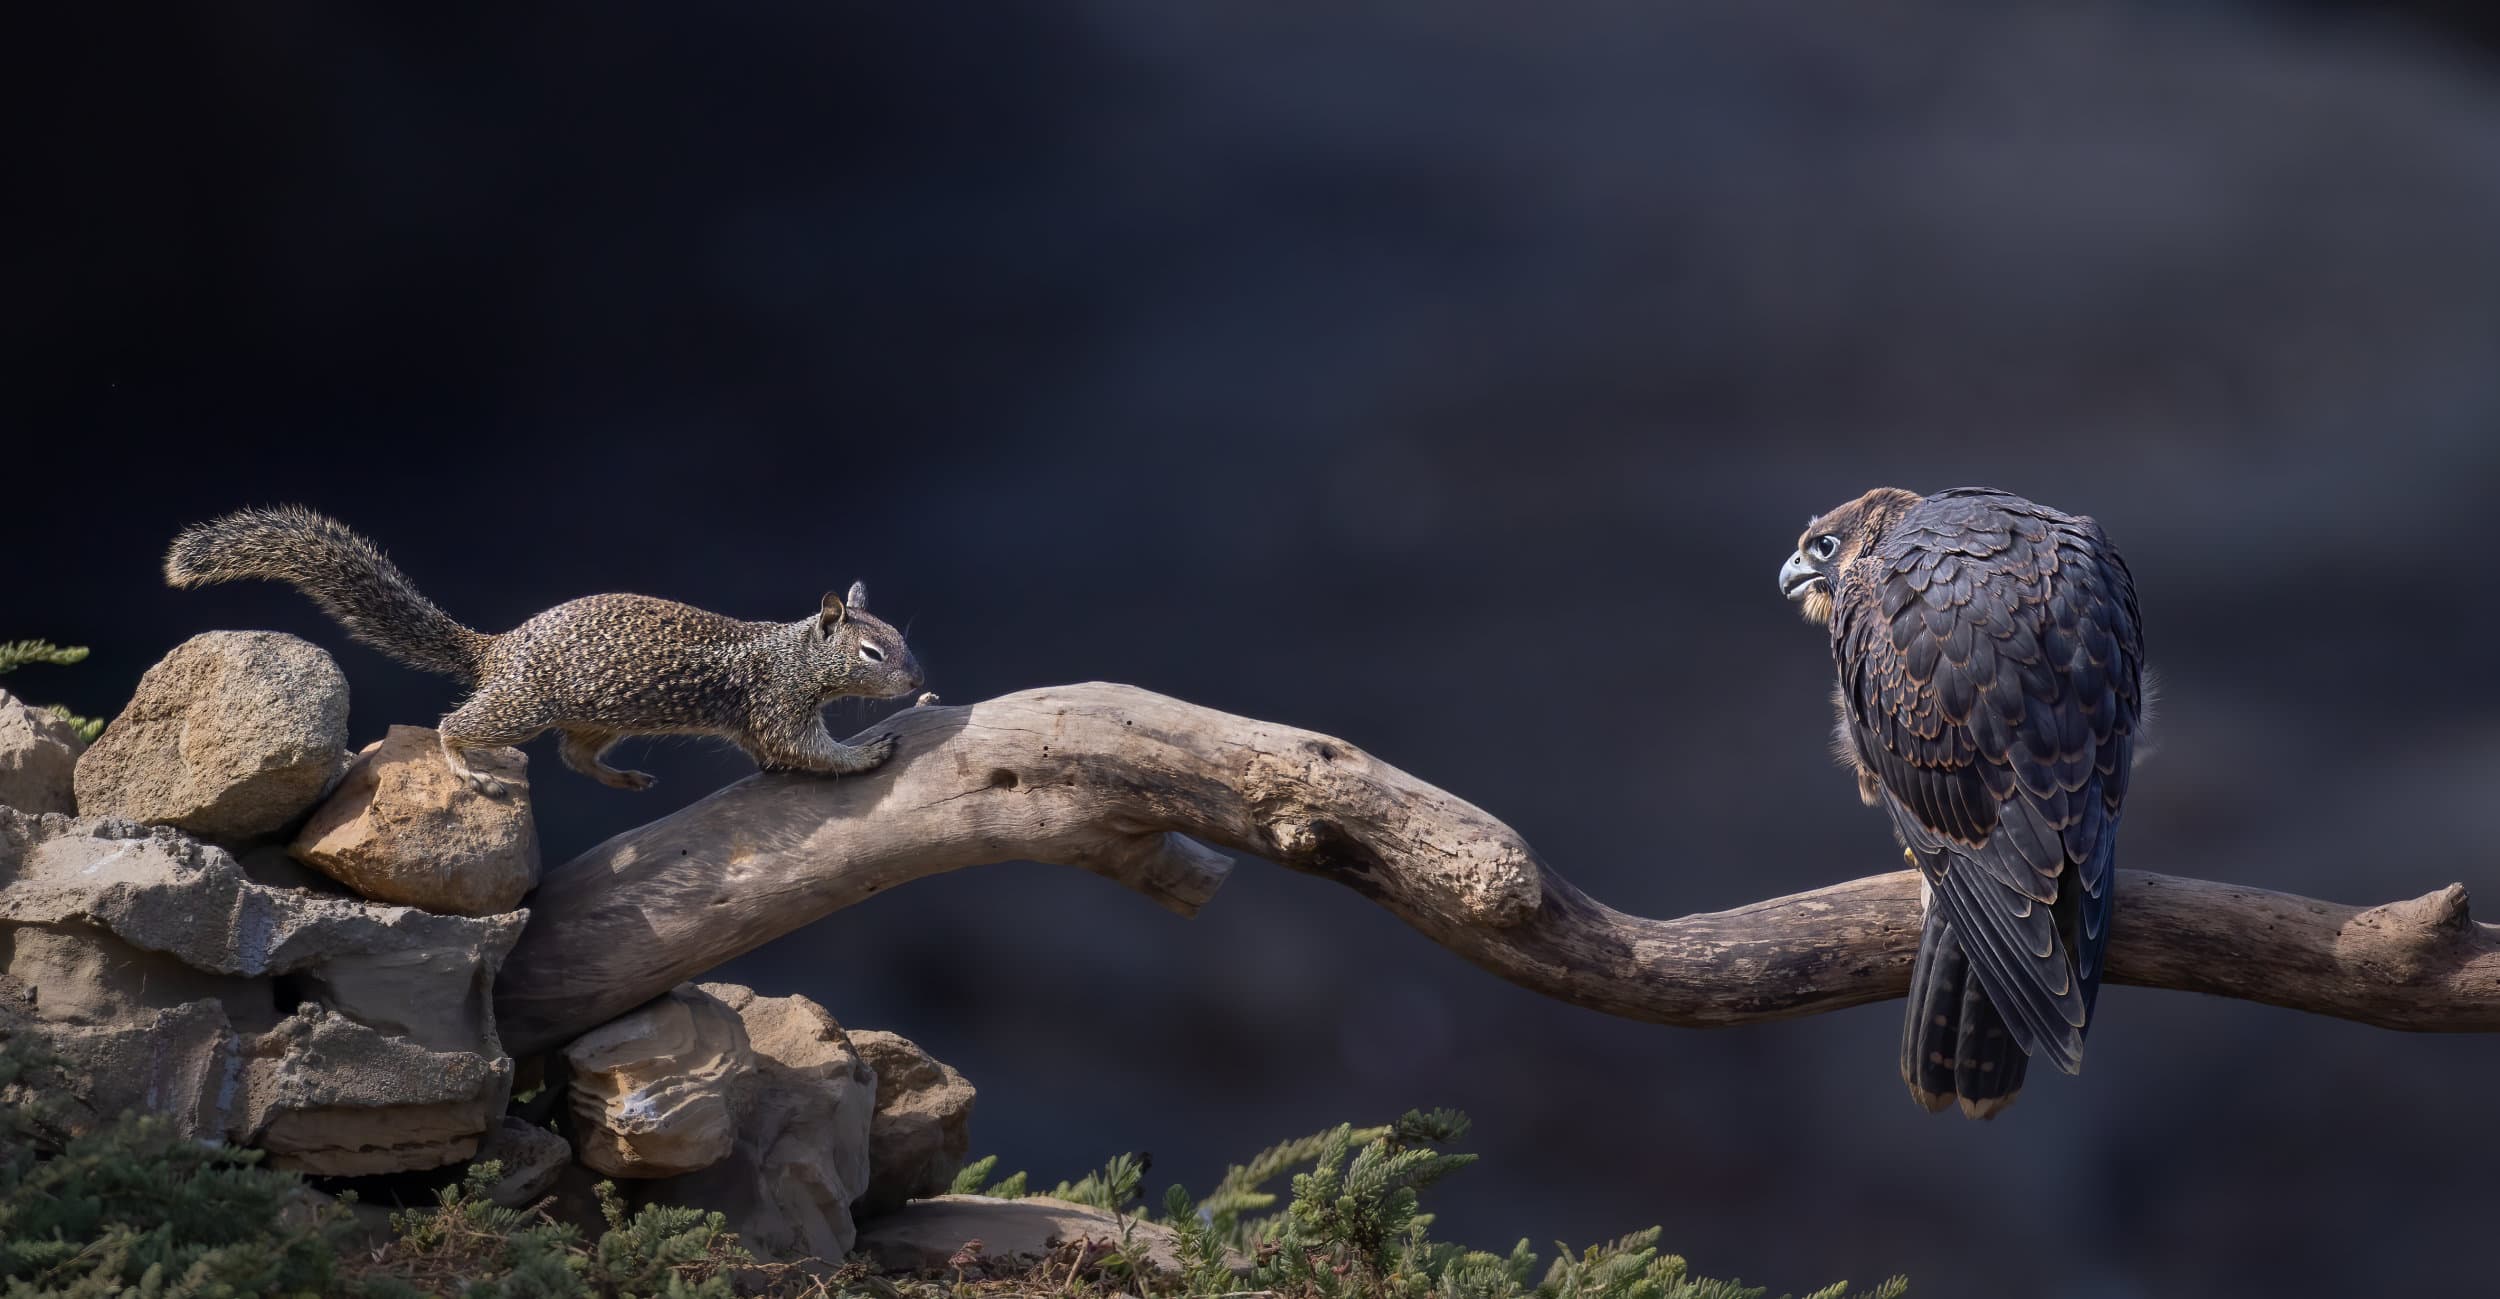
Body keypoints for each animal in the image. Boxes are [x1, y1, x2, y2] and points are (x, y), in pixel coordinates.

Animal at [164, 505, 925, 796]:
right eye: (872, 653)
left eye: (904, 641)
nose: (916, 676)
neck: (794, 653)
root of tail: (495, 648)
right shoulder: (777, 701)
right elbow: (803, 748)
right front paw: (867, 754)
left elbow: (777, 755)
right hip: (523, 707)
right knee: (455, 724)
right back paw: (463, 766)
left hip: (596, 716)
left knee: (574, 755)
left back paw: (623, 777)